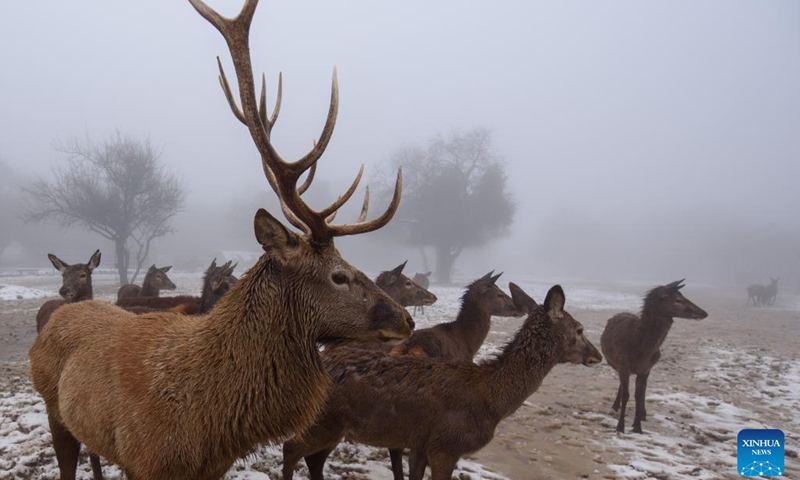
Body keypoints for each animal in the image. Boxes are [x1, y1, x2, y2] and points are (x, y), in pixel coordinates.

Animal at [282, 284, 600, 480]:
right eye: (579, 329)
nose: (597, 355)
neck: (491, 400)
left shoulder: (420, 443)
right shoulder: (445, 445)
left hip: (335, 428)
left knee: (314, 461)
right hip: (322, 420)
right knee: (291, 449)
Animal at [600, 280, 708, 434]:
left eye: (682, 296)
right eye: (678, 300)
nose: (704, 313)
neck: (641, 350)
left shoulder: (645, 370)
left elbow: (638, 395)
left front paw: (637, 427)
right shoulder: (623, 365)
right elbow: (627, 395)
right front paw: (620, 427)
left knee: (643, 388)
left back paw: (643, 414)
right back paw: (616, 406)